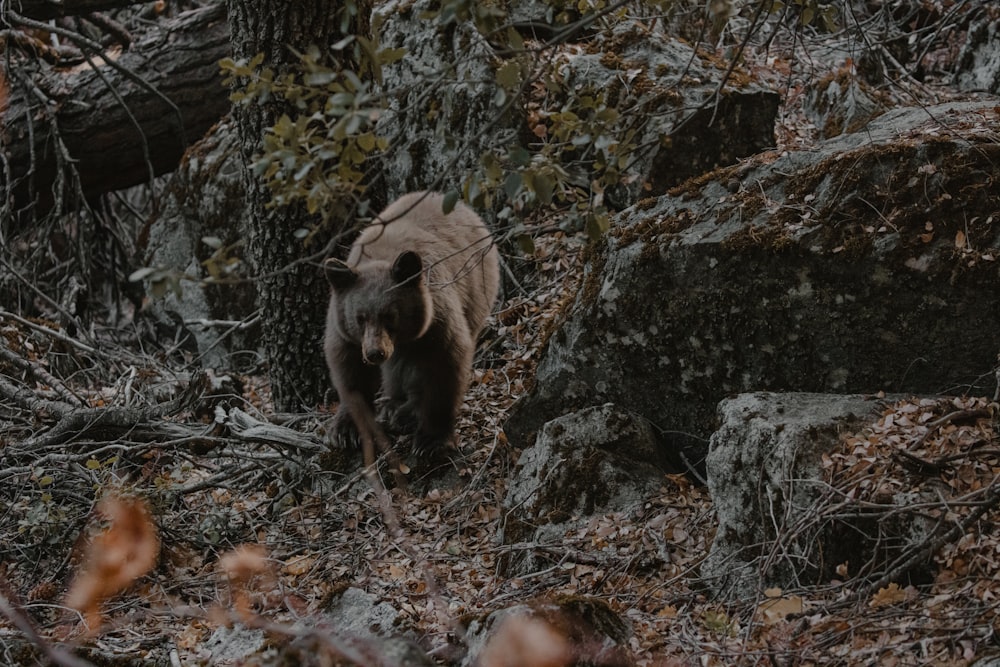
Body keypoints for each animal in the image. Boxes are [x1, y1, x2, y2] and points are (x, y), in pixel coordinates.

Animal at [324, 190, 500, 468]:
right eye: (360, 318)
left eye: (390, 315)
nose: (375, 353)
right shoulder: (345, 331)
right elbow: (350, 371)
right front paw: (347, 431)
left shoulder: (436, 319)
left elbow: (445, 363)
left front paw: (431, 440)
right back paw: (393, 405)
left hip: (477, 294)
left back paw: (405, 412)